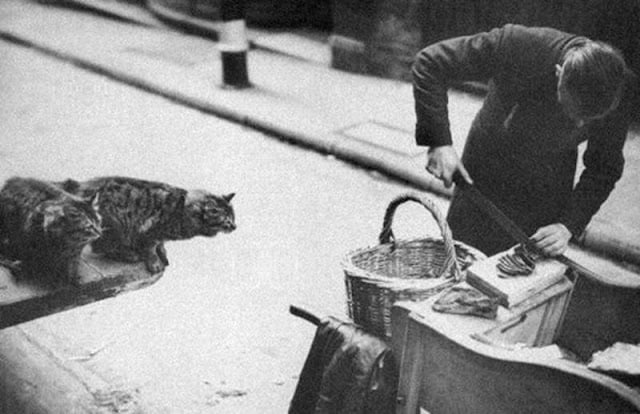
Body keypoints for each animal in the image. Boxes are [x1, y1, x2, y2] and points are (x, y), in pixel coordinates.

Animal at [58, 176, 235, 274]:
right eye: (227, 220)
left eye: (234, 217)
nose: (235, 226)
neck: (183, 210)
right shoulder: (152, 231)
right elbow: (150, 249)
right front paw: (155, 262)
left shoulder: (161, 235)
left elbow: (161, 245)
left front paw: (163, 254)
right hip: (115, 226)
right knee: (101, 248)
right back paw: (129, 254)